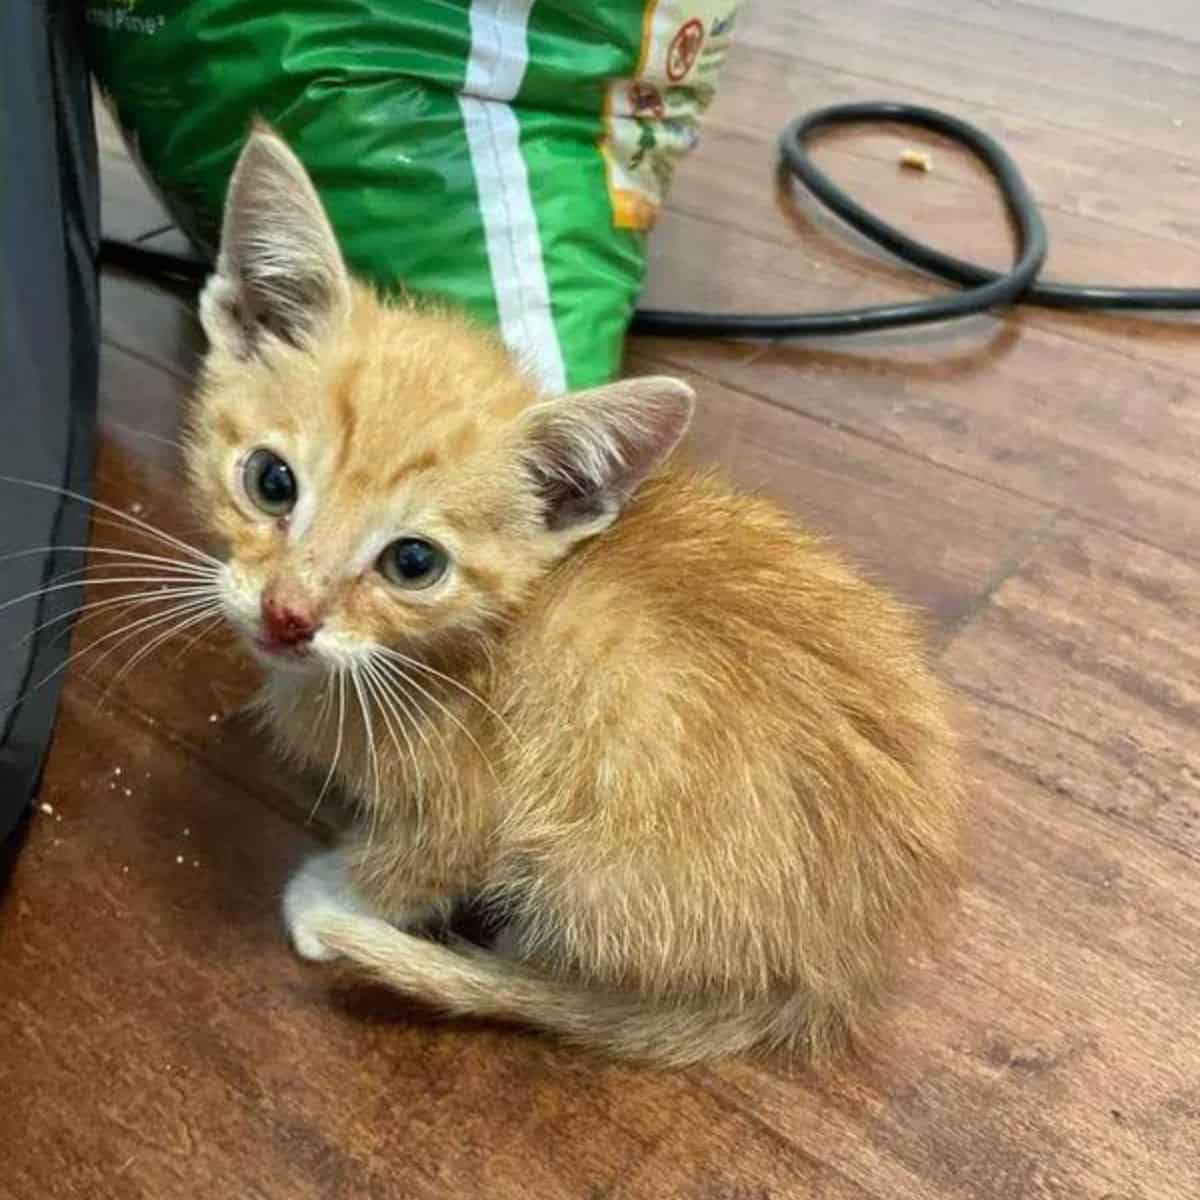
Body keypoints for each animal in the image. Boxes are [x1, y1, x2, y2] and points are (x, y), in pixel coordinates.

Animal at [187, 133, 960, 1070]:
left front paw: (328, 899)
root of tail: (836, 970)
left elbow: (414, 864)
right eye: (271, 482)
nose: (288, 615)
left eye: (413, 562)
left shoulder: (474, 803)